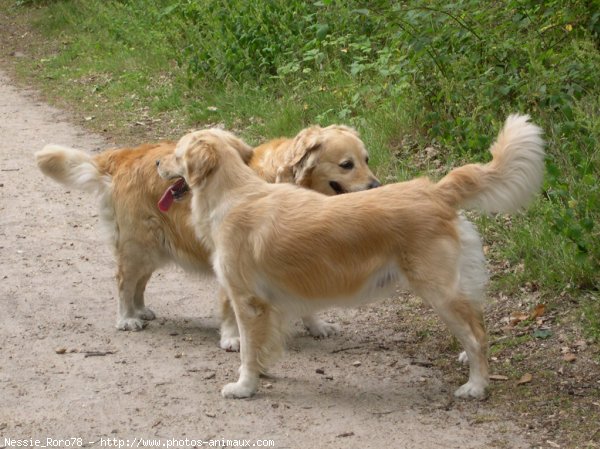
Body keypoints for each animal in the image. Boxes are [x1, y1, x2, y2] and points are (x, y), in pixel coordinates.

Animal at [35, 126, 380, 350]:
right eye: (346, 164)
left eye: (367, 159)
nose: (376, 186)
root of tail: (127, 155)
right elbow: (230, 308)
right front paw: (232, 338)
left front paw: (317, 326)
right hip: (138, 246)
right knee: (124, 280)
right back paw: (126, 318)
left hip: (155, 249)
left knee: (139, 282)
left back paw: (140, 310)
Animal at [157, 115, 548, 400]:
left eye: (177, 153)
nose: (159, 161)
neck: (233, 194)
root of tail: (435, 190)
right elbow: (266, 343)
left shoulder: (247, 301)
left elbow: (247, 351)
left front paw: (244, 386)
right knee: (477, 323)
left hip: (440, 291)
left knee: (478, 335)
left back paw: (477, 386)